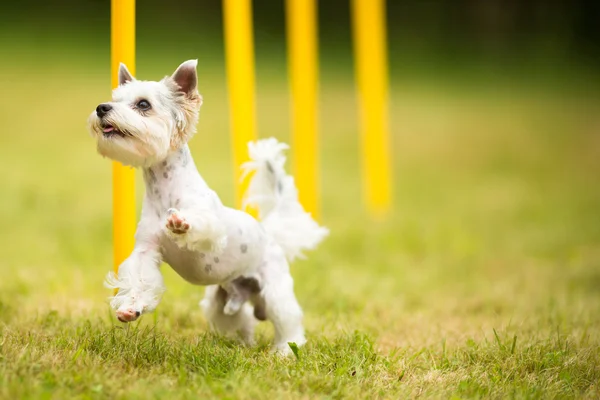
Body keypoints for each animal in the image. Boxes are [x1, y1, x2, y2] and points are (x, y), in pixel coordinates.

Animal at [88, 59, 328, 354]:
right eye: (115, 99)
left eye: (143, 104)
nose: (102, 108)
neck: (164, 191)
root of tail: (269, 233)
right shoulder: (146, 250)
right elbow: (138, 279)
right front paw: (129, 309)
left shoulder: (212, 228)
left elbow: (199, 223)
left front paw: (180, 223)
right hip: (221, 302)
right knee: (242, 321)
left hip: (275, 292)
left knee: (288, 322)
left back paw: (284, 350)